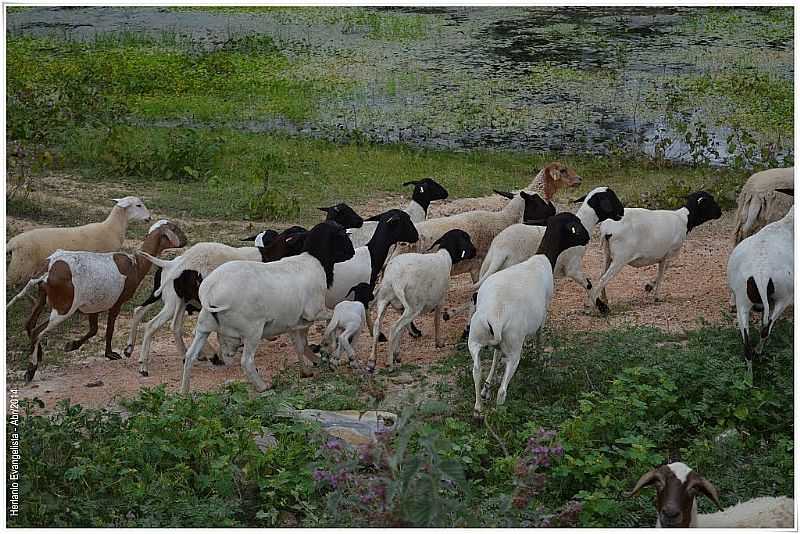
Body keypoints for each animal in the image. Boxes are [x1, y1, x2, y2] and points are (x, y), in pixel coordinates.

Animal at [11, 220, 188, 384]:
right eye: (175, 229)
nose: (186, 240)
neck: (136, 264)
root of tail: (47, 271)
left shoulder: (94, 306)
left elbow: (94, 329)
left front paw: (72, 345)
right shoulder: (117, 302)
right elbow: (109, 329)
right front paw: (110, 354)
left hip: (43, 297)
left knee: (29, 324)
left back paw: (38, 355)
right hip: (64, 307)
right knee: (37, 331)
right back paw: (31, 369)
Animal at [181, 222, 356, 394]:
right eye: (341, 235)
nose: (352, 253)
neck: (315, 260)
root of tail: (211, 292)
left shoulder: (294, 321)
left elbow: (299, 345)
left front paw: (306, 371)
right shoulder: (314, 311)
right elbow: (332, 317)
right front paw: (331, 347)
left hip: (204, 326)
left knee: (190, 356)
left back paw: (185, 392)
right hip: (252, 330)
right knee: (246, 361)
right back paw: (262, 386)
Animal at [368, 229, 476, 372]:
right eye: (467, 238)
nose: (475, 251)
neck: (445, 256)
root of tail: (395, 279)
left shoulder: (402, 308)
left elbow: (404, 329)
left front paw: (397, 354)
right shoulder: (440, 300)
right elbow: (437, 321)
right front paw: (439, 343)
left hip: (385, 302)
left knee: (378, 326)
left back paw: (372, 361)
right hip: (413, 307)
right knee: (393, 328)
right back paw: (389, 364)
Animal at [588, 192, 724, 314]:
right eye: (710, 201)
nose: (720, 212)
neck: (685, 219)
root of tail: (607, 229)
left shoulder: (663, 256)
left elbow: (661, 272)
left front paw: (649, 287)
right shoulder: (668, 254)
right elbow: (662, 273)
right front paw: (656, 295)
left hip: (607, 255)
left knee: (601, 276)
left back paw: (604, 300)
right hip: (620, 259)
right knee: (603, 279)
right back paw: (597, 307)